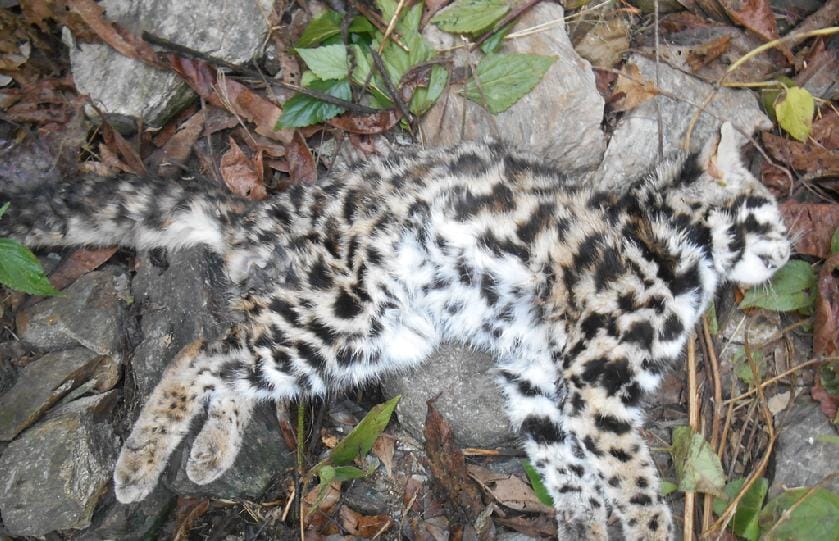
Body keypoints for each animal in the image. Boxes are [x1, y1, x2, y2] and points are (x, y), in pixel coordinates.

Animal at [0, 122, 789, 540]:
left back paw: (209, 451)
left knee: (237, 359)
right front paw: (645, 525)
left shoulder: (537, 374)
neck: (671, 248)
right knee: (201, 351)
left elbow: (562, 458)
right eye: (767, 213)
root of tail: (265, 212)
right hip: (340, 311)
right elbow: (628, 473)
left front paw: (582, 520)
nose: (789, 250)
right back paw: (139, 465)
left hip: (366, 335)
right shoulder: (597, 380)